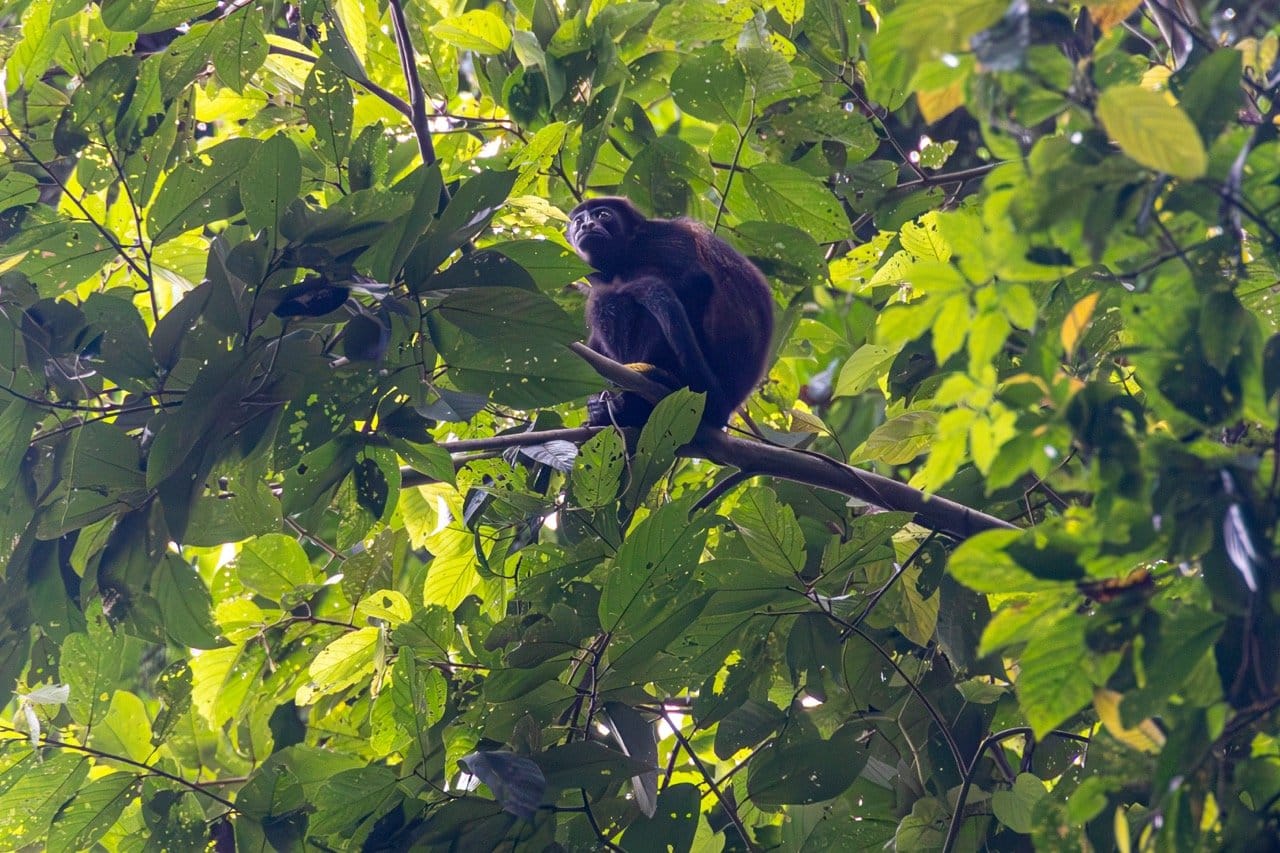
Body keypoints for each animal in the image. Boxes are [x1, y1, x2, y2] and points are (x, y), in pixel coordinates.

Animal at [568, 197, 768, 425]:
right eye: (578, 221)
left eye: (603, 215)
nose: (586, 225)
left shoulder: (665, 239)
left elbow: (697, 280)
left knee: (612, 300)